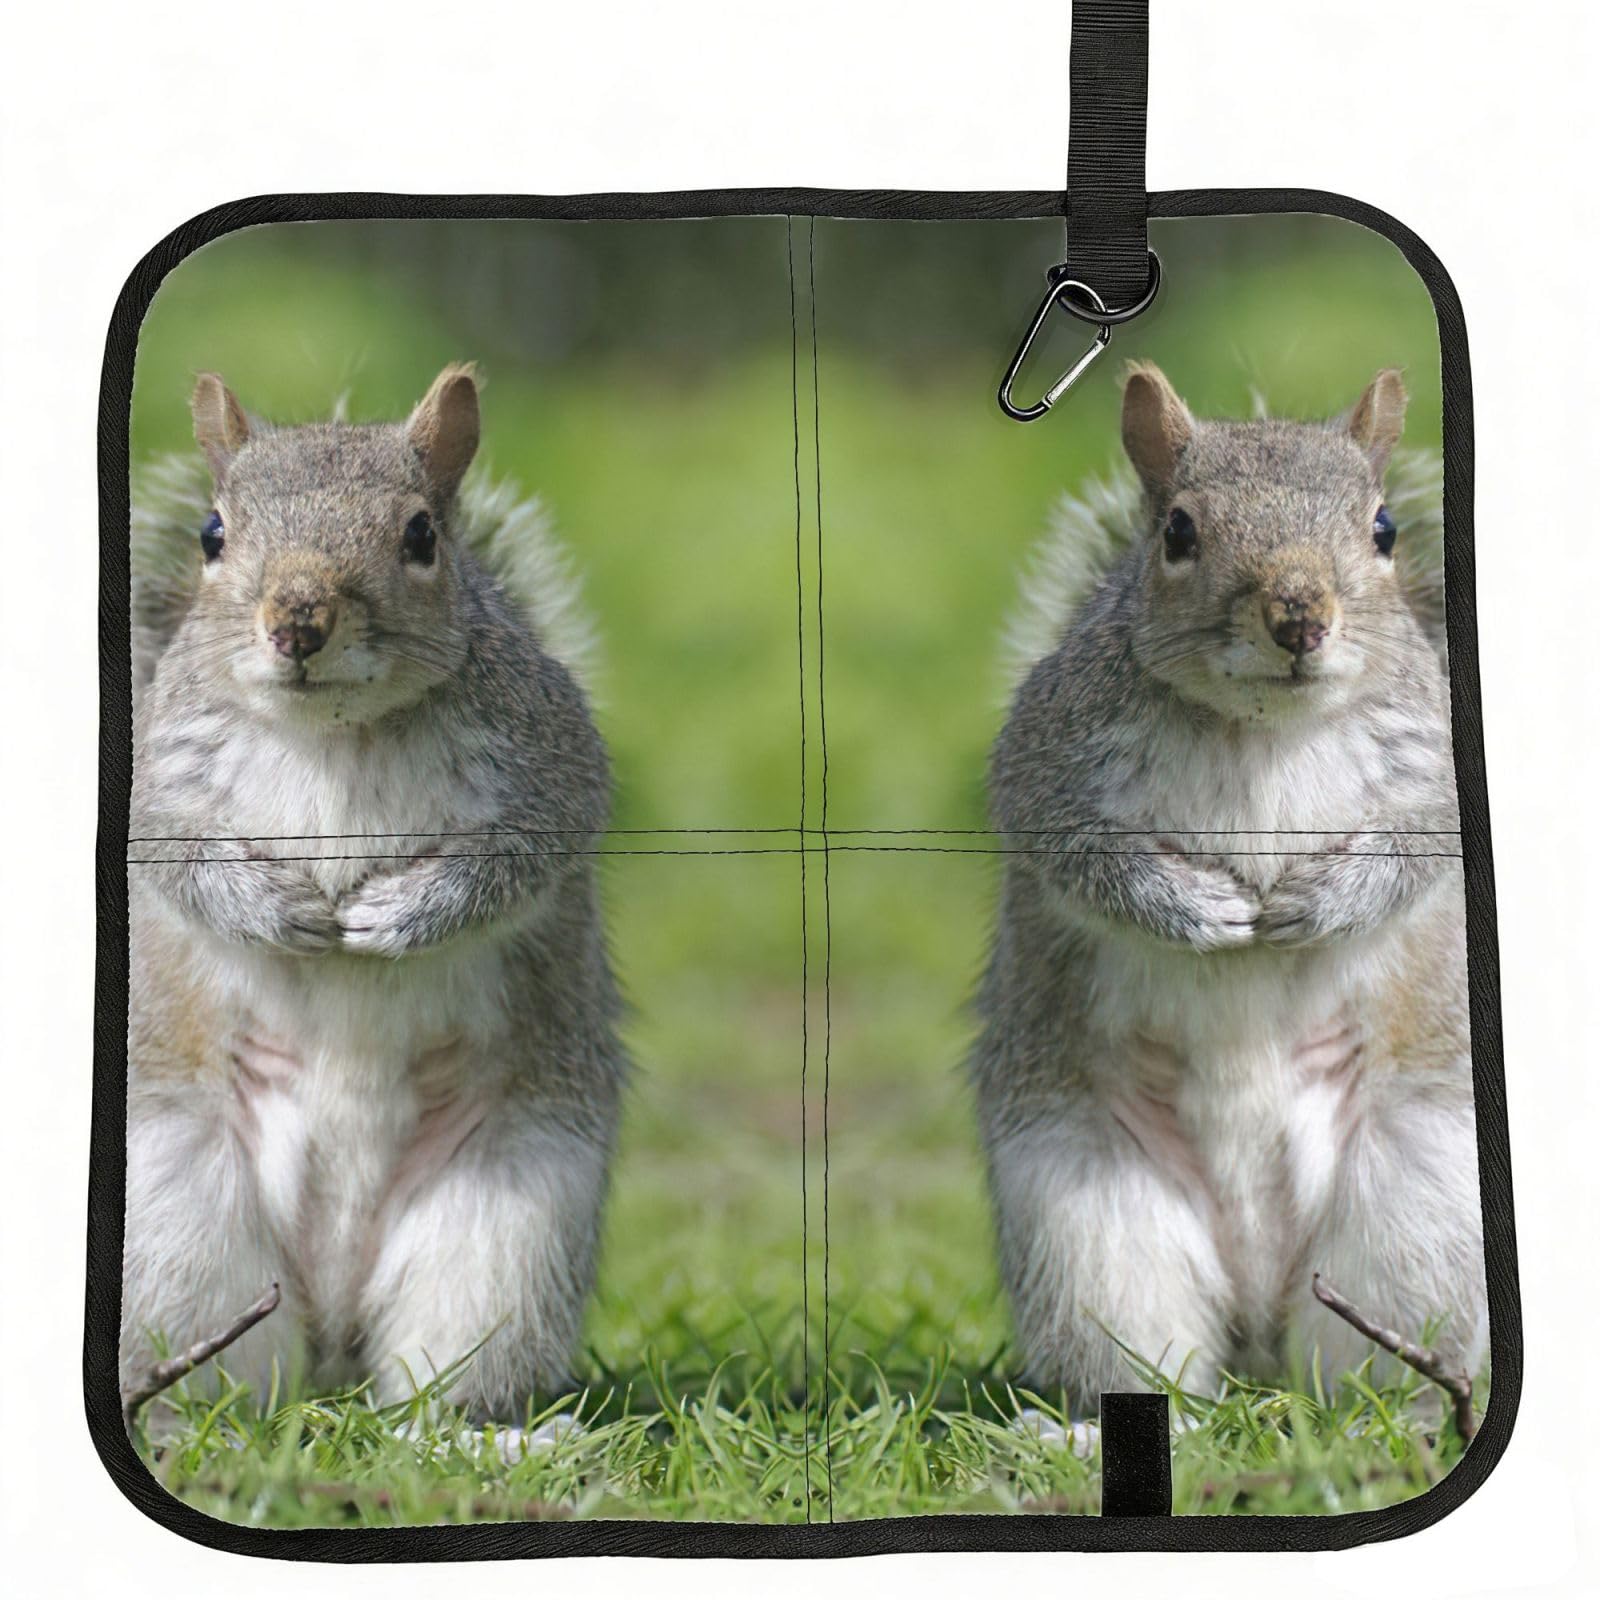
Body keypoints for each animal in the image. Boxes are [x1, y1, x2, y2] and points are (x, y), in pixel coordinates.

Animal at [123, 365, 626, 1424]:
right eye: (212, 534)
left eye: (422, 535)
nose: (298, 621)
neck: (337, 732)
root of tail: (331, 1325)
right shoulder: (155, 780)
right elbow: (175, 861)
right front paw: (277, 911)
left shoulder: (553, 762)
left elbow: (525, 853)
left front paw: (399, 914)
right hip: (179, 1212)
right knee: (227, 1373)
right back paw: (196, 1428)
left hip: (508, 1216)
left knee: (440, 1374)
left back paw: (479, 1438)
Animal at [973, 363, 1483, 1407]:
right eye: (1178, 531)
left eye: (1383, 529)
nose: (1299, 615)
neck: (1259, 728)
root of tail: (1259, 1321)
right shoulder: (1045, 755)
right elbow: (1069, 844)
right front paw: (1195, 908)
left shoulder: (1436, 771)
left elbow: (1420, 848)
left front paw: (1319, 904)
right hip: (1085, 1209)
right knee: (1140, 1355)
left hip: (1417, 1207)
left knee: (1369, 1359)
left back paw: (1397, 1415)